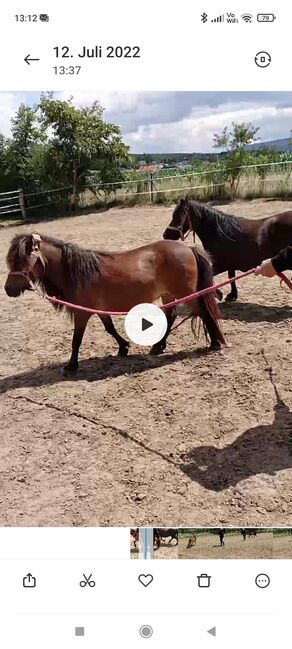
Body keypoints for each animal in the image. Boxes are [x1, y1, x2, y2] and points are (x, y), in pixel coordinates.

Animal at [4, 232, 225, 370]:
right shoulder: (98, 309)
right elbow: (109, 328)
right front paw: (123, 347)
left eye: (21, 260)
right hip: (169, 294)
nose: (8, 289)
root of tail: (188, 248)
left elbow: (77, 339)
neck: (77, 273)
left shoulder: (82, 312)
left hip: (186, 293)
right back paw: (158, 346)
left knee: (203, 311)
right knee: (171, 315)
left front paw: (71, 365)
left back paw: (215, 343)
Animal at [162, 196, 292, 300]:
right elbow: (231, 277)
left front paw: (218, 294)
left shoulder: (220, 265)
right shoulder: (230, 265)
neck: (221, 233)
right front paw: (232, 295)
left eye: (177, 217)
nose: (165, 235)